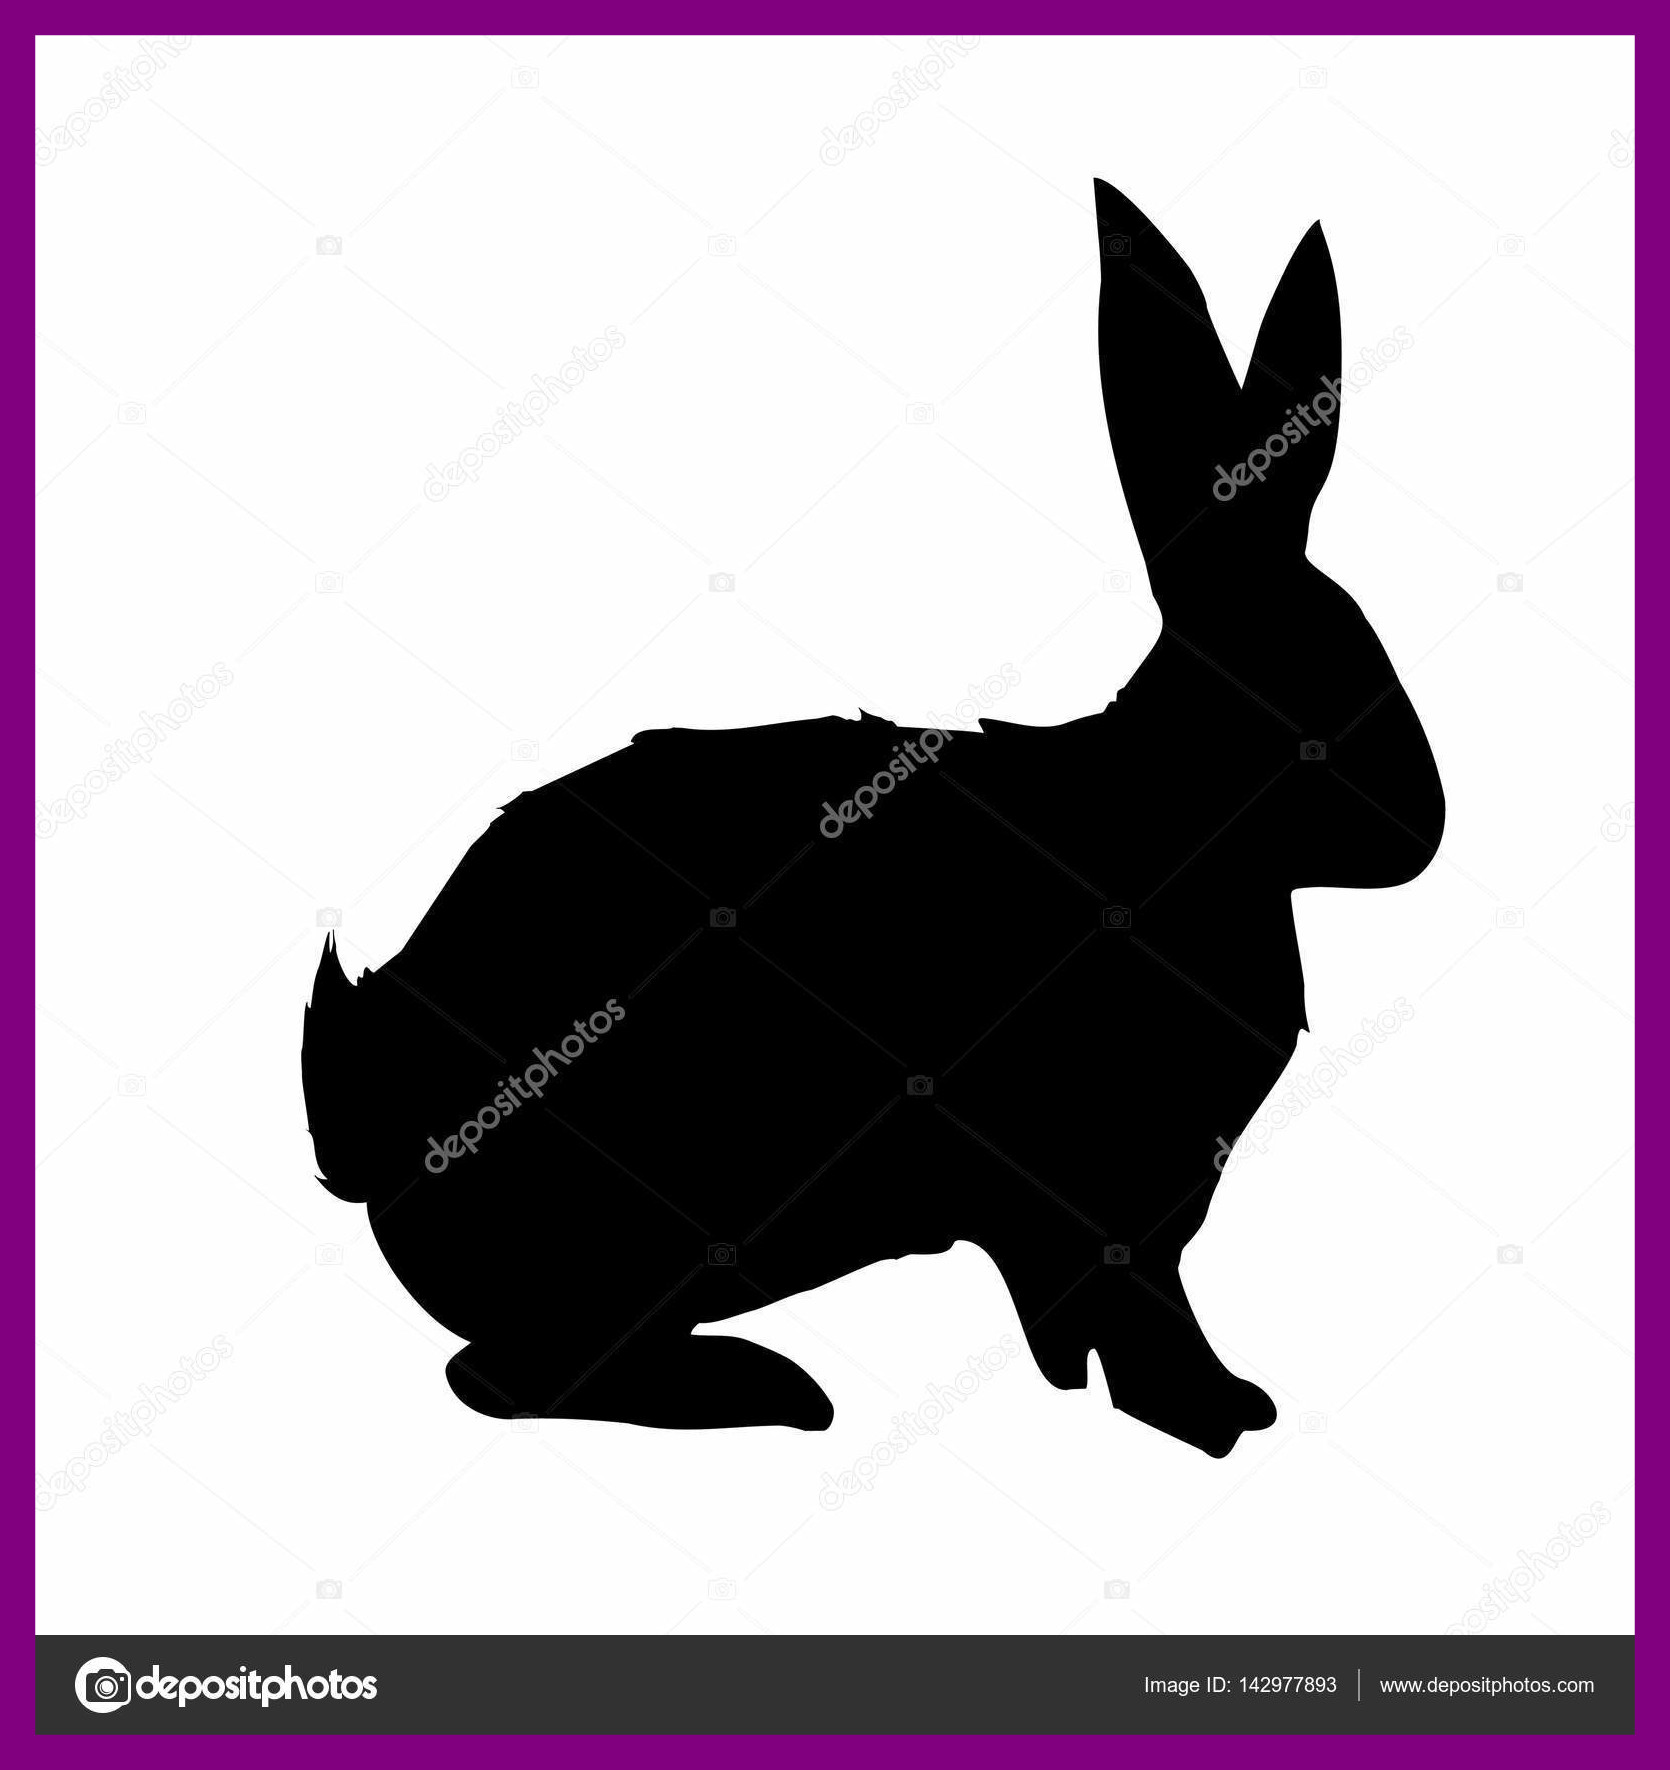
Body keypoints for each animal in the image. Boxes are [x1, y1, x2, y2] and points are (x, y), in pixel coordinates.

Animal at [302, 181, 1443, 1457]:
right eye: (1285, 685)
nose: (1418, 833)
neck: (1153, 817)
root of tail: (361, 1133)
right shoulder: (1090, 1186)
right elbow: (1127, 1302)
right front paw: (1207, 1416)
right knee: (505, 1376)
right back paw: (772, 1393)